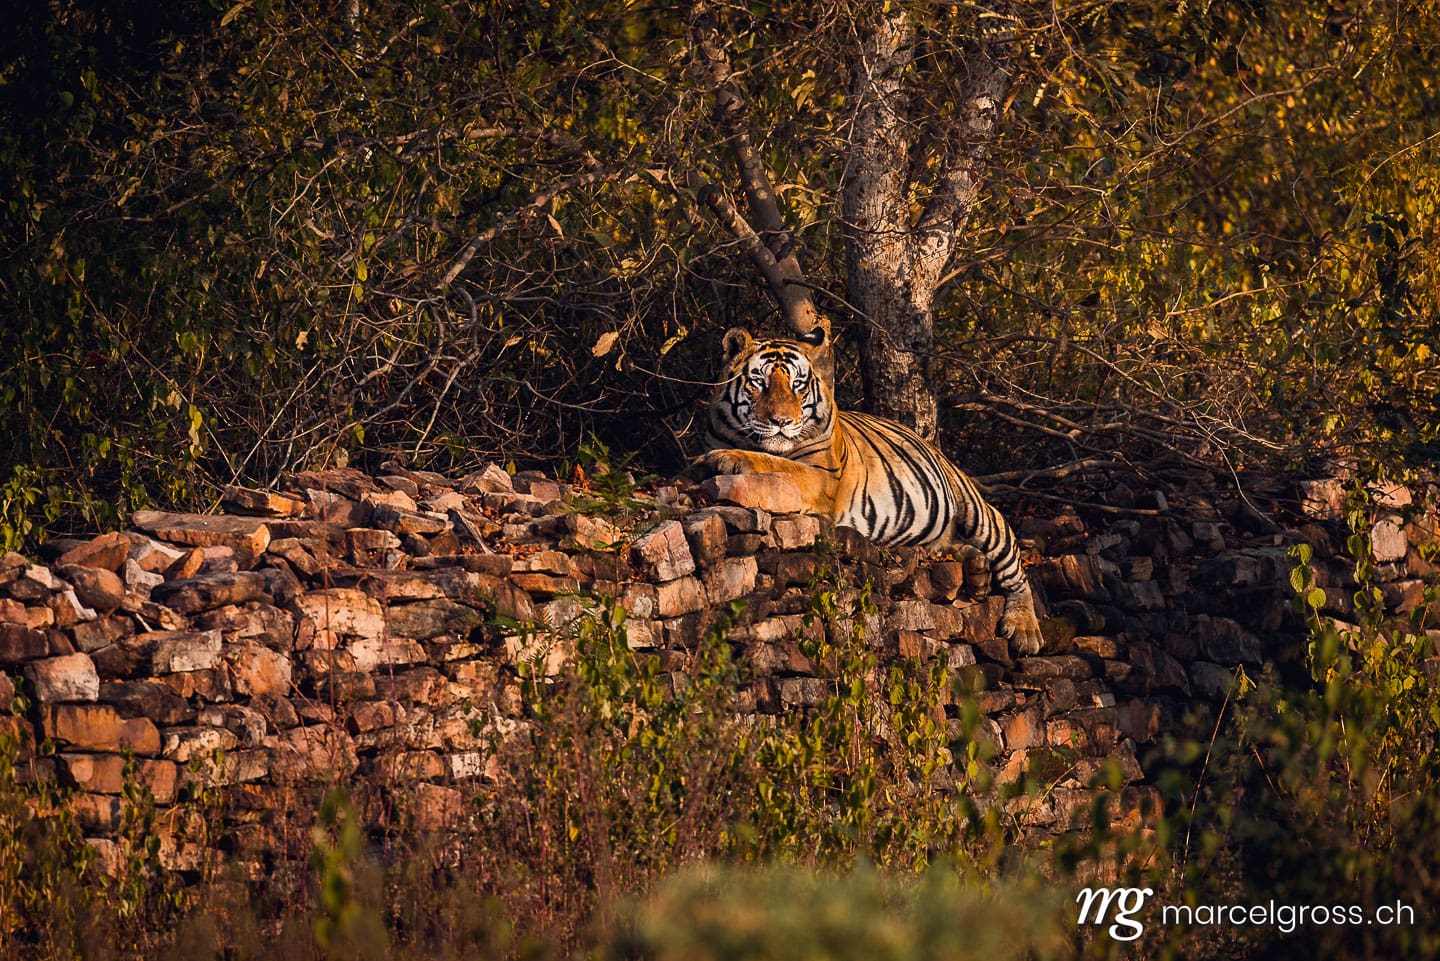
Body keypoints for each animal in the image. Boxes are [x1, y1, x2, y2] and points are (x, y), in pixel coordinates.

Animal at [693, 325, 1044, 655]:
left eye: (797, 385)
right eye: (759, 383)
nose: (782, 421)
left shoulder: (820, 477)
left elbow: (773, 462)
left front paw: (726, 458)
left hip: (978, 512)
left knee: (1013, 564)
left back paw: (1024, 630)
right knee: (949, 547)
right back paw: (978, 573)